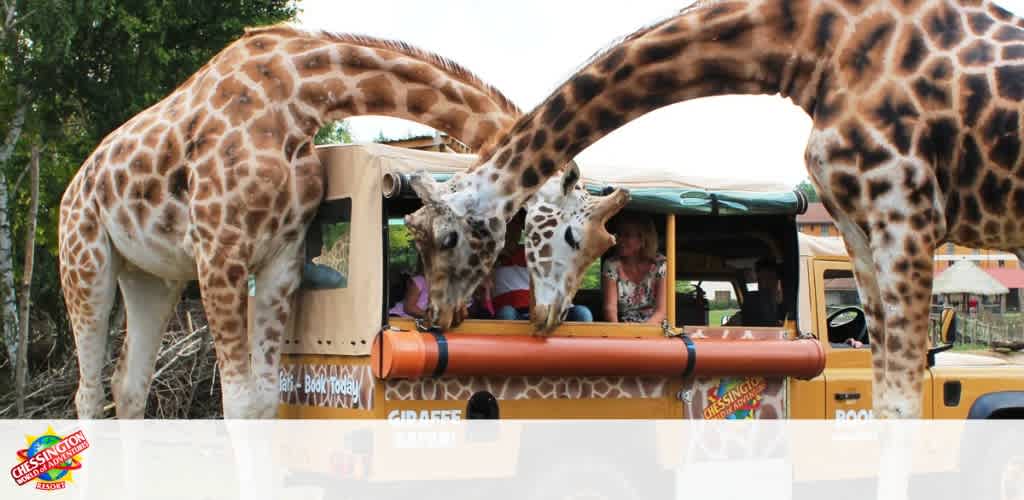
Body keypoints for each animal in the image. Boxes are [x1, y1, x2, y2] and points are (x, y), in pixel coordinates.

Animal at [58, 23, 534, 419]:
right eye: (456, 236)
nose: (448, 316)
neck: (297, 97)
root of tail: (72, 187)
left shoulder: (281, 258)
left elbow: (267, 401)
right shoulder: (219, 256)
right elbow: (238, 402)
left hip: (152, 278)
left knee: (128, 384)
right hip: (85, 262)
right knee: (87, 391)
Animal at [403, 0, 1024, 419]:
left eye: (591, 240)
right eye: (417, 233)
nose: (435, 315)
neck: (815, 43)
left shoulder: (906, 212)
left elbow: (900, 407)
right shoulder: (861, 225)